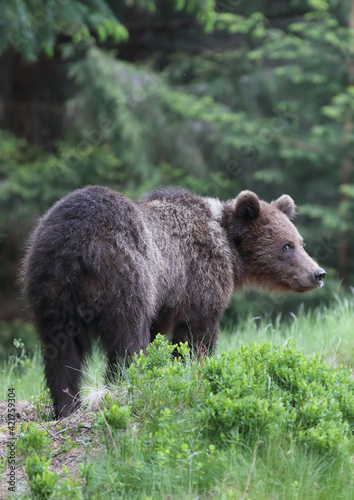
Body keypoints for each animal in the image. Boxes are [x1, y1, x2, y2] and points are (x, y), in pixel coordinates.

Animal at [21, 185, 326, 418]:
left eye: (301, 242)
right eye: (286, 245)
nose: (318, 273)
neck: (229, 248)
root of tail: (75, 246)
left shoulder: (166, 300)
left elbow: (162, 332)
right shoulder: (196, 278)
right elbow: (195, 334)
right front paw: (194, 368)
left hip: (49, 286)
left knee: (60, 351)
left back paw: (67, 406)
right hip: (127, 274)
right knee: (128, 338)